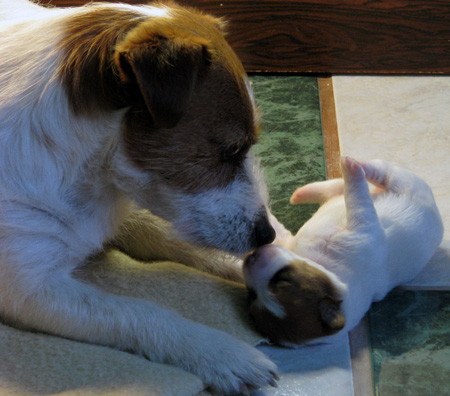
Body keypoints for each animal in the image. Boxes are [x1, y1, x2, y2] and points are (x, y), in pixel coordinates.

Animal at [0, 1, 278, 394]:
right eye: (231, 150)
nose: (267, 234)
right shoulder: (28, 288)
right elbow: (145, 312)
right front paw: (223, 352)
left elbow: (170, 236)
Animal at [243, 157, 442, 346]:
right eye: (252, 295)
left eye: (282, 280)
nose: (250, 258)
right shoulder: (364, 227)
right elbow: (358, 200)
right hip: (403, 181)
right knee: (370, 178)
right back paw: (352, 167)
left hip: (402, 183)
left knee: (352, 183)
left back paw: (308, 189)